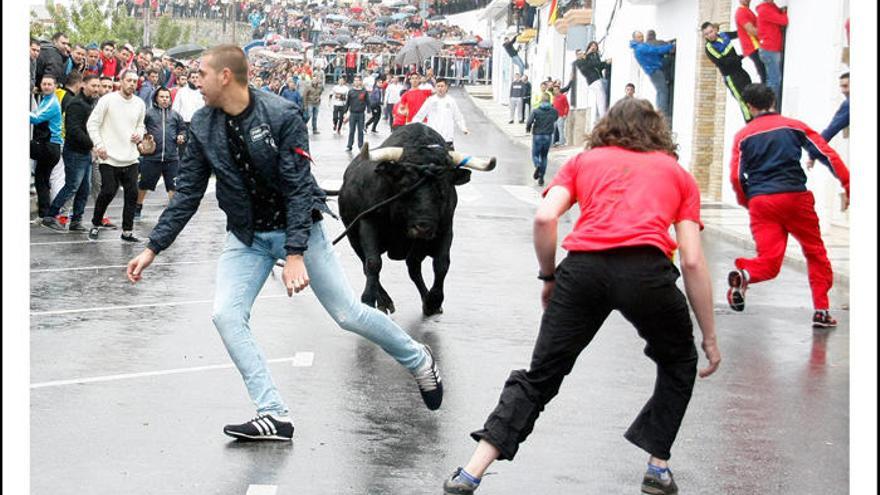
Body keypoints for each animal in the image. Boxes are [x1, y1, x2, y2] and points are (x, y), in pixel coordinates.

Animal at [336, 125, 496, 318]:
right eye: (405, 185)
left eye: (444, 188)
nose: (423, 227)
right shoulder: (368, 223)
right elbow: (373, 263)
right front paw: (370, 299)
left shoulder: (444, 229)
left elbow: (441, 264)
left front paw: (434, 301)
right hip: (353, 237)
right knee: (367, 264)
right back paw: (384, 300)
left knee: (413, 266)